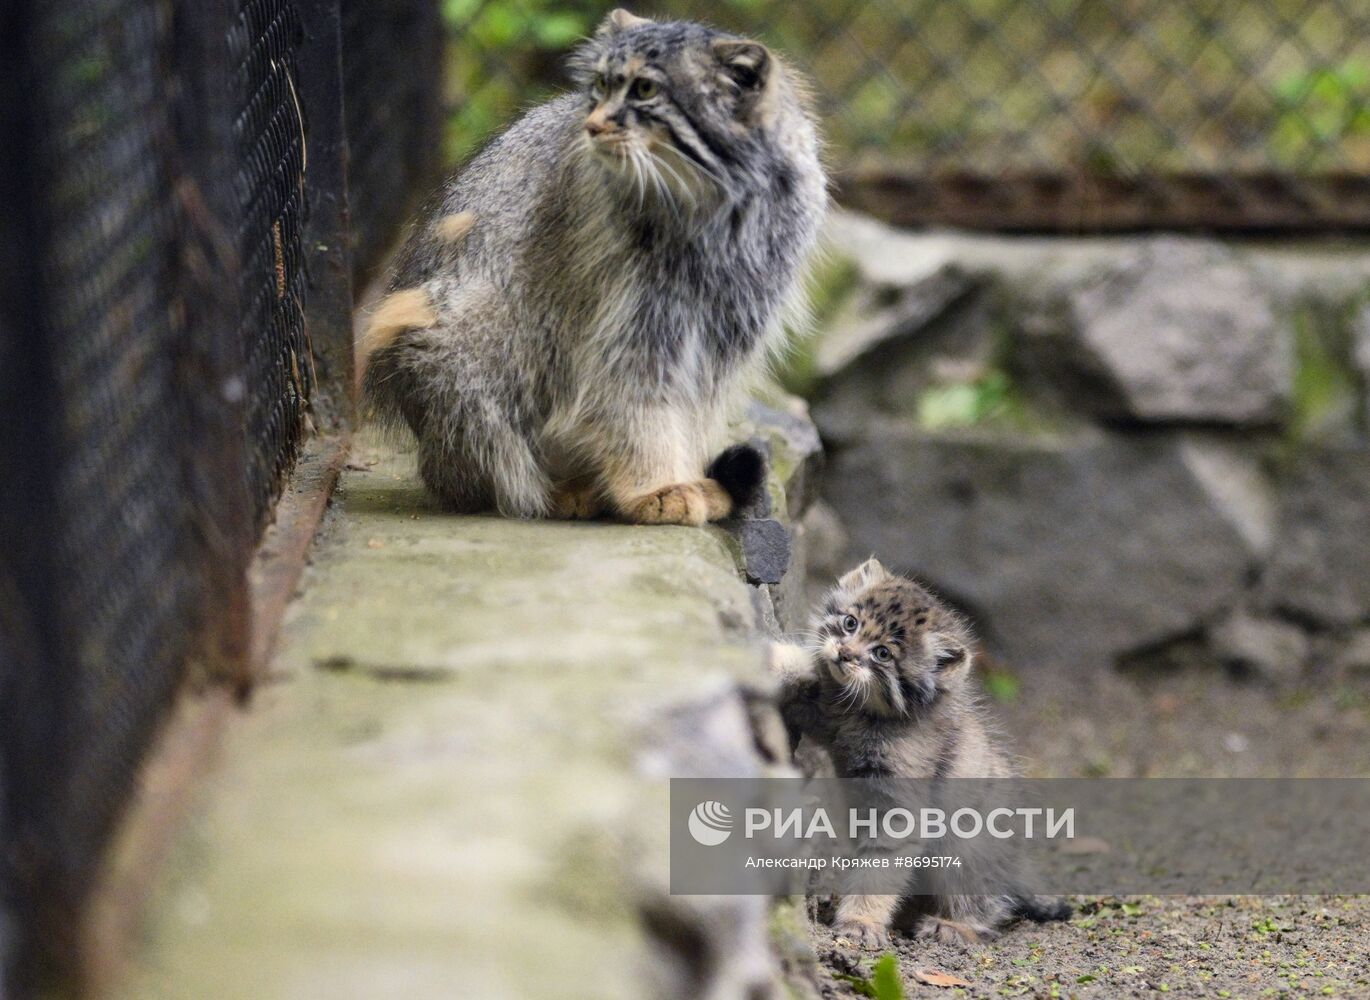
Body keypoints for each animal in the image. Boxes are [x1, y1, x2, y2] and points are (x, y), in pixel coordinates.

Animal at [358, 7, 822, 523]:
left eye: (645, 89)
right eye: (600, 85)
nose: (593, 125)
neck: (721, 210)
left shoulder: (729, 325)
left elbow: (694, 409)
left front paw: (690, 476)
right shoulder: (630, 323)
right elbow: (634, 405)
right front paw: (656, 486)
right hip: (458, 336)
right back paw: (558, 491)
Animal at [772, 556, 1068, 947]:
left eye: (882, 653)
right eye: (851, 623)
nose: (845, 654)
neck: (859, 712)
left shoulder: (901, 809)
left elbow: (880, 868)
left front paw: (860, 922)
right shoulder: (826, 716)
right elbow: (807, 673)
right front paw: (770, 658)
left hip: (966, 850)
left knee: (986, 906)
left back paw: (954, 926)